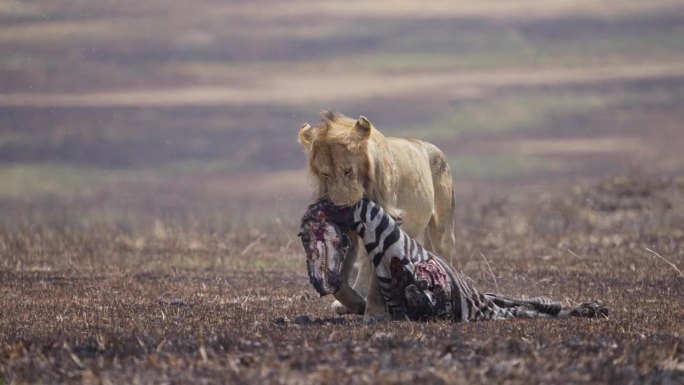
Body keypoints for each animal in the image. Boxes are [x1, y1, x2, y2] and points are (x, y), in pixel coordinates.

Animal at [298, 111, 454, 320]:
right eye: (325, 174)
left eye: (348, 170)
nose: (341, 205)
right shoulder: (348, 232)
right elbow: (342, 282)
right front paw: (356, 304)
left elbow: (376, 278)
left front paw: (374, 313)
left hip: (442, 228)